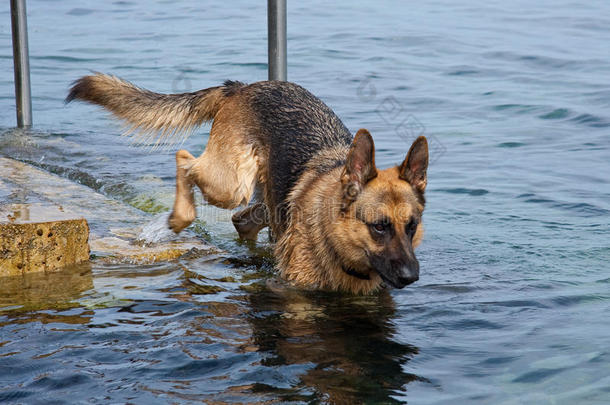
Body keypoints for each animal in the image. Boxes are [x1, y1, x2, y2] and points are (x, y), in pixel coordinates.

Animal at [66, 74, 426, 292]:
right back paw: (179, 217)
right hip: (230, 184)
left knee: (242, 221)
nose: (412, 277)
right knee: (185, 160)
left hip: (269, 204)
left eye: (412, 226)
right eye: (379, 227)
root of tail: (242, 85)